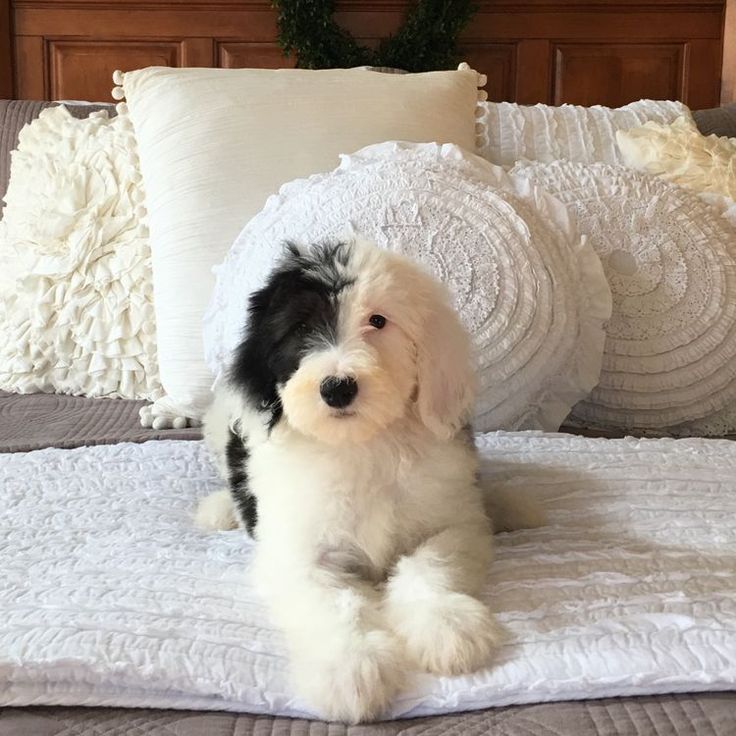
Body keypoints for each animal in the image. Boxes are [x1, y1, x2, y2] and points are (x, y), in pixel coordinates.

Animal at [196, 239, 536, 720]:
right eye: (300, 327)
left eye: (378, 320)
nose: (337, 387)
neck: (363, 443)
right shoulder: (298, 554)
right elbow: (333, 602)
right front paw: (349, 666)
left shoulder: (452, 524)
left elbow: (428, 564)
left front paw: (446, 625)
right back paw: (219, 509)